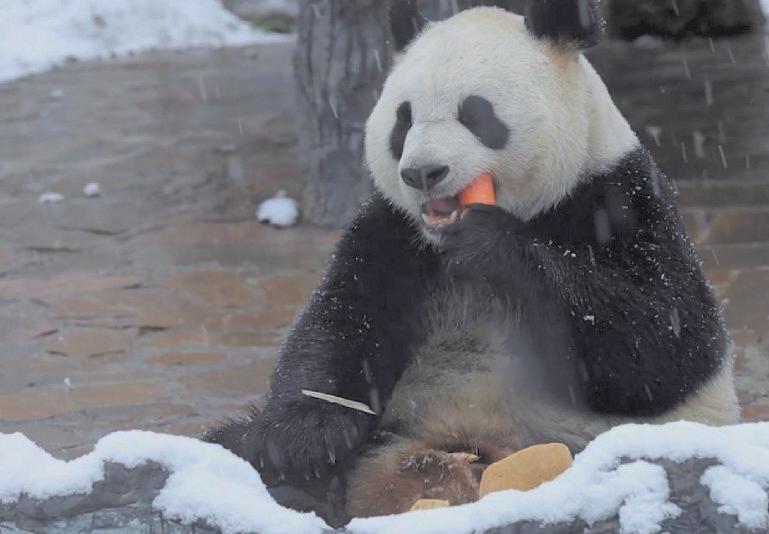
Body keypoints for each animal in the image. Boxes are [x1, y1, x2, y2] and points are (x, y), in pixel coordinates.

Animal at [208, 0, 738, 523]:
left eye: (477, 114)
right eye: (403, 120)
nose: (423, 172)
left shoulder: (619, 198)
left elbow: (664, 343)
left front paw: (491, 243)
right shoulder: (394, 230)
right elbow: (339, 323)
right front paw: (301, 442)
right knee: (230, 442)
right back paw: (300, 486)